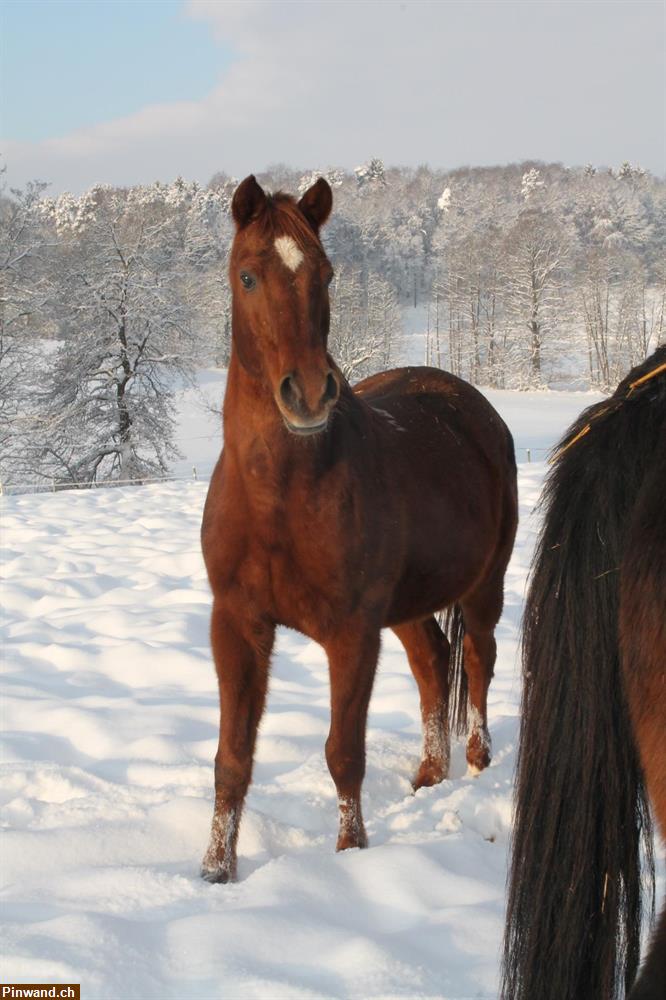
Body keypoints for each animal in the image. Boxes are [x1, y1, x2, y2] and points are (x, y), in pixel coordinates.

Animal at [200, 178, 516, 884]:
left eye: (326, 274)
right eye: (248, 276)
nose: (310, 394)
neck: (279, 495)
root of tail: (473, 406)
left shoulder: (350, 634)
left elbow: (343, 750)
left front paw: (350, 852)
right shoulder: (237, 622)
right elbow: (232, 758)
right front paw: (215, 871)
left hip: (483, 587)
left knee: (479, 660)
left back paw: (476, 763)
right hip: (407, 607)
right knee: (433, 663)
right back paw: (429, 773)